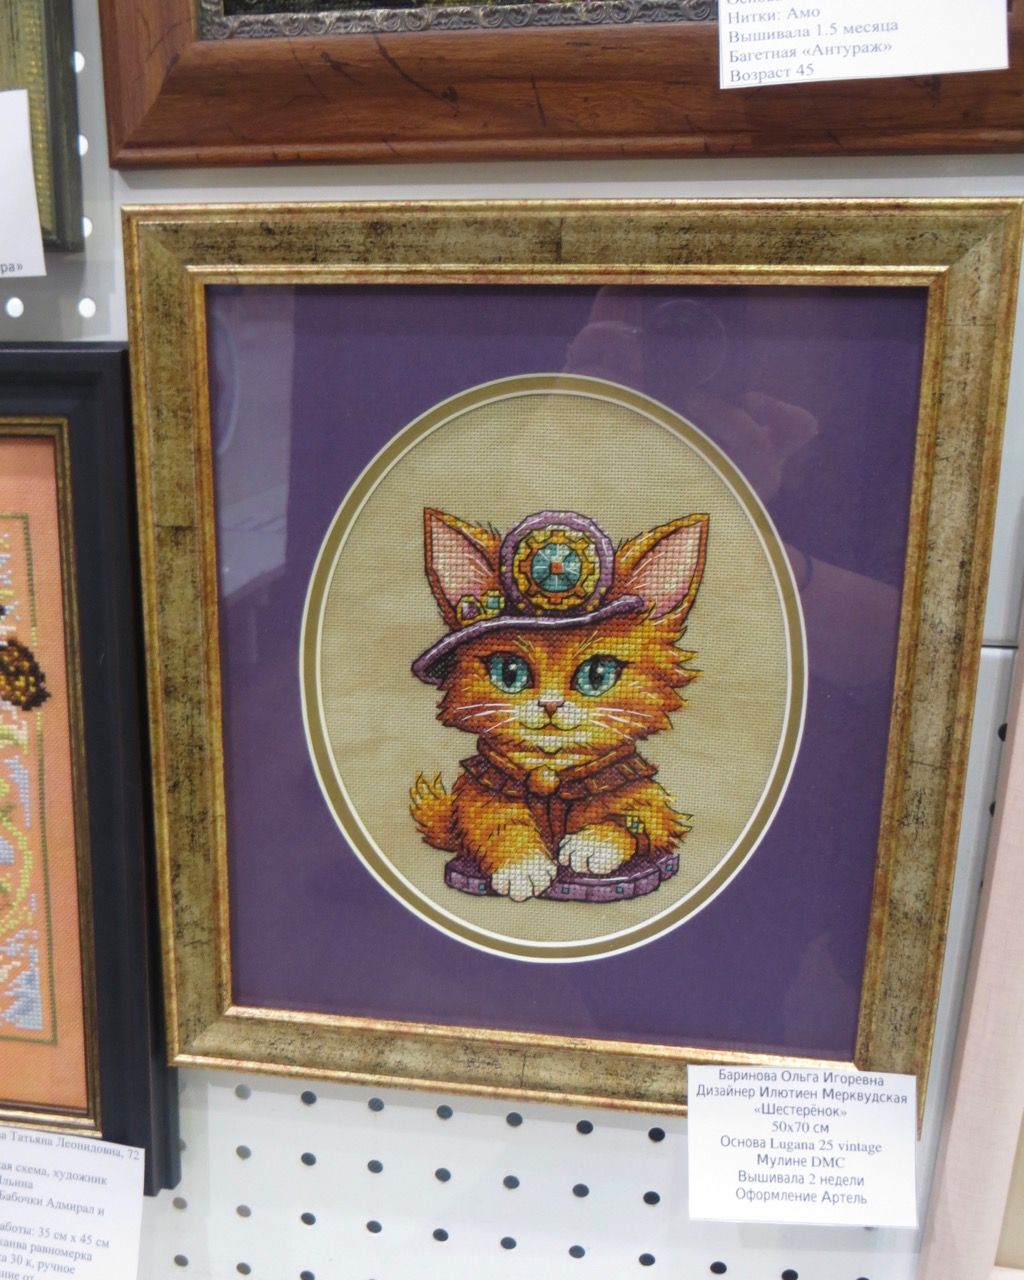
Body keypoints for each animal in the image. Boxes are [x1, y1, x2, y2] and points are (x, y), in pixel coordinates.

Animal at [410, 508, 708, 902]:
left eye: (597, 674)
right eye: (510, 672)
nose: (550, 704)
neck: (551, 771)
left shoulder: (642, 793)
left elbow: (643, 816)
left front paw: (592, 844)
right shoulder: (483, 791)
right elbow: (491, 822)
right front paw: (522, 866)